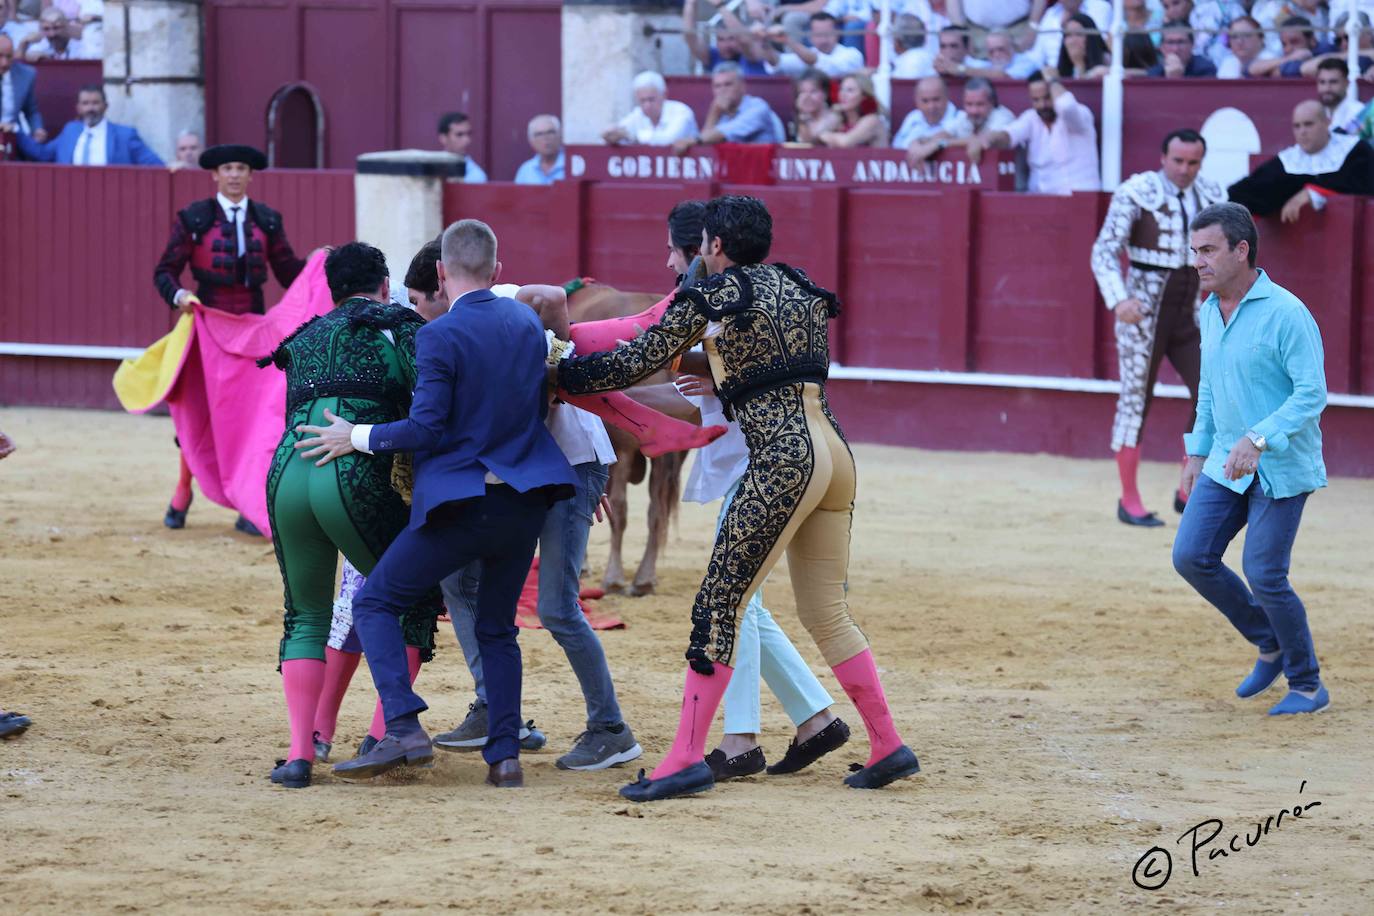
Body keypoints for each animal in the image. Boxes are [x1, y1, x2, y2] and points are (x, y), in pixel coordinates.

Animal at [563, 280, 681, 596]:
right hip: (666, 455)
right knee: (656, 511)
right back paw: (644, 578)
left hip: (628, 449)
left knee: (622, 508)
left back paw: (614, 577)